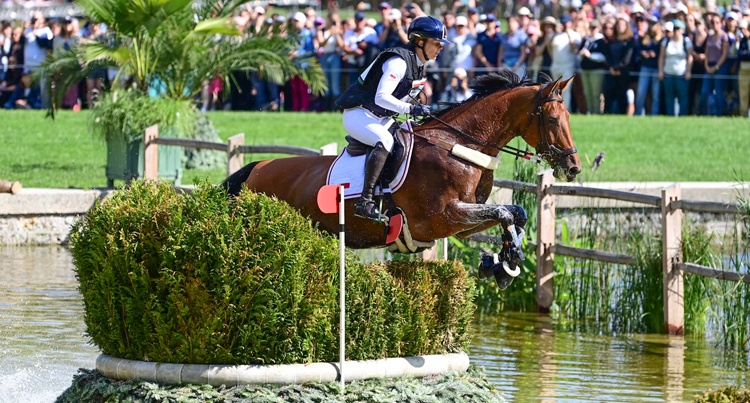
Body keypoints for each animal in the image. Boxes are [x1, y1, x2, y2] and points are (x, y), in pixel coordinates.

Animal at [220, 71, 584, 284]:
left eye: (569, 116)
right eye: (553, 119)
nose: (573, 167)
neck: (461, 145)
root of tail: (258, 167)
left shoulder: (463, 223)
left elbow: (515, 213)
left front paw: (501, 263)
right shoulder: (444, 216)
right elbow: (505, 212)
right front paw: (509, 260)